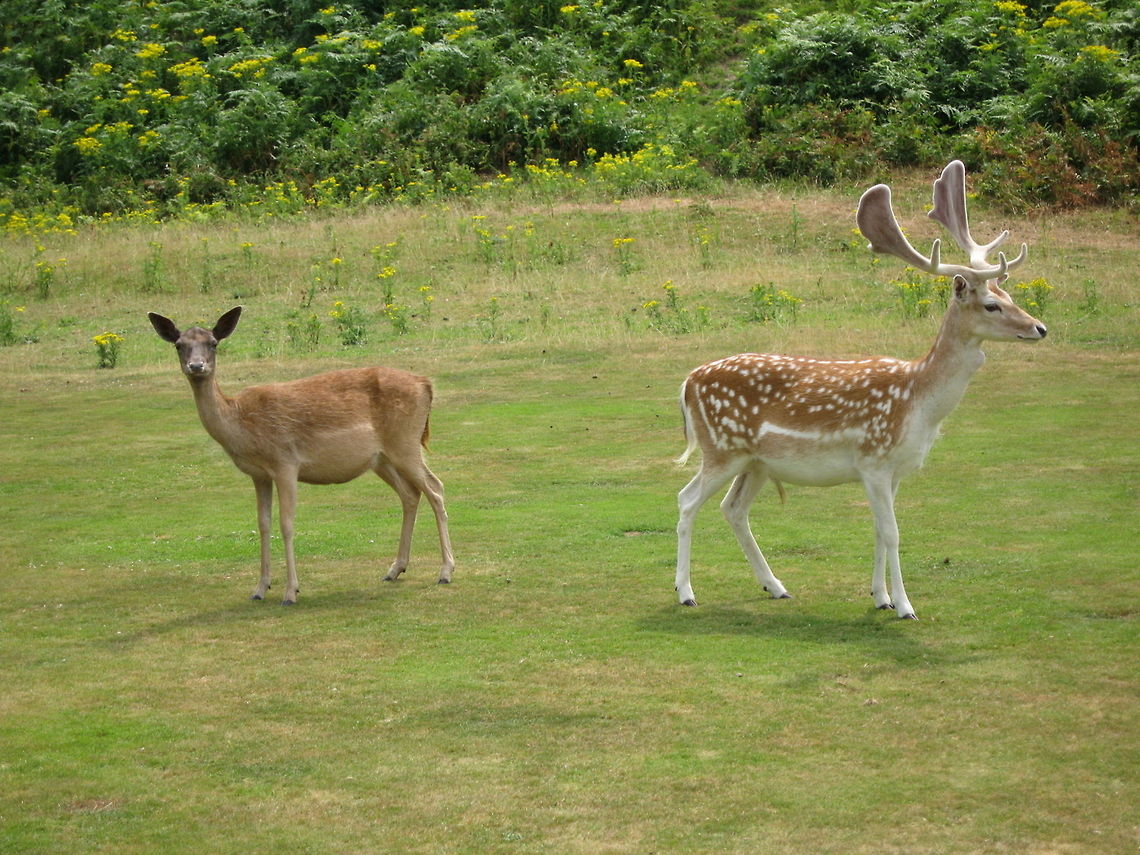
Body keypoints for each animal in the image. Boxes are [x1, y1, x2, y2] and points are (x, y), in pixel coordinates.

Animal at [148, 306, 455, 605]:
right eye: (179, 345)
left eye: (213, 343)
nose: (196, 366)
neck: (241, 426)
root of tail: (426, 384)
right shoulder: (259, 475)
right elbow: (262, 524)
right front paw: (260, 588)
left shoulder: (285, 462)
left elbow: (287, 524)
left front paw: (290, 592)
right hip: (382, 458)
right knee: (410, 494)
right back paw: (395, 569)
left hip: (405, 443)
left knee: (436, 488)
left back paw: (445, 571)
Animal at [674, 160, 1047, 619]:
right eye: (992, 305)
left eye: (1009, 294)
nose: (1040, 328)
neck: (919, 404)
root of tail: (688, 382)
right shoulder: (873, 460)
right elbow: (893, 532)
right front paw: (905, 605)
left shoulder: (895, 470)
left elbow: (877, 530)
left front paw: (880, 597)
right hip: (721, 448)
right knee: (686, 500)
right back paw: (686, 592)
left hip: (756, 462)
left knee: (733, 508)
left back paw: (775, 586)